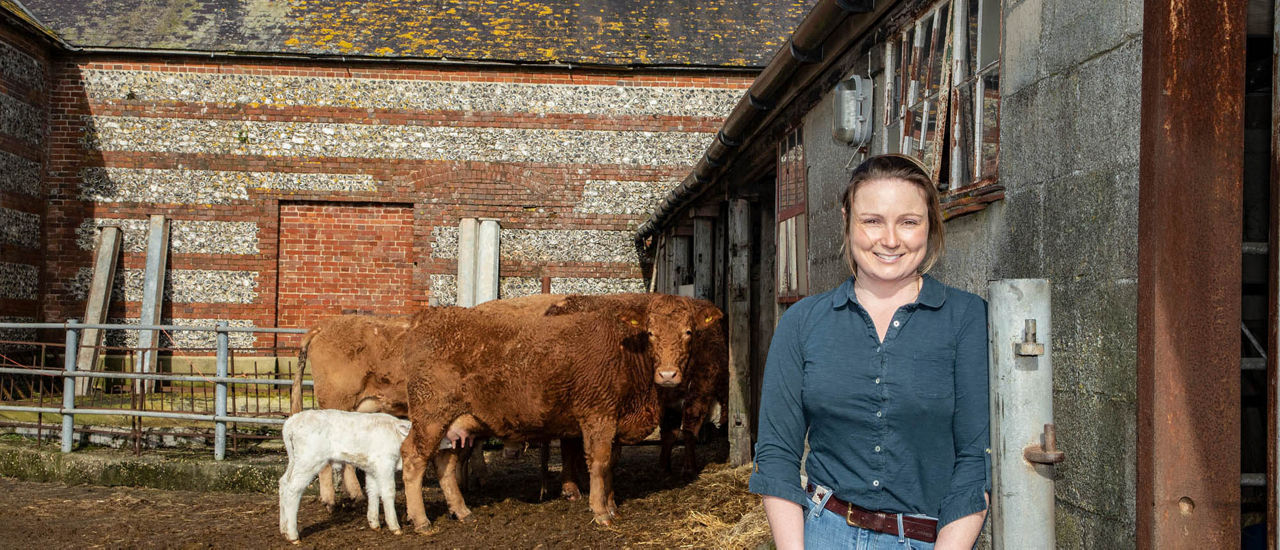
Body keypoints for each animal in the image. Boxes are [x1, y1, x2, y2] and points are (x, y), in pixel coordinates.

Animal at [279, 409, 409, 542]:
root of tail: (293, 420)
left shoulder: (371, 469)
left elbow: (373, 491)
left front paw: (374, 523)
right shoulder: (385, 464)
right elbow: (389, 492)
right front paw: (395, 526)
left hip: (295, 461)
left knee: (283, 483)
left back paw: (284, 529)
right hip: (309, 461)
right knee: (292, 489)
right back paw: (292, 535)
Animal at [399, 296, 721, 529]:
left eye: (688, 332)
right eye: (651, 333)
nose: (668, 375)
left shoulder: (614, 422)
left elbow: (612, 464)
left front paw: (613, 506)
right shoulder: (598, 416)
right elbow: (600, 463)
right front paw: (600, 512)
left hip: (456, 424)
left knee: (445, 462)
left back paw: (462, 511)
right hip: (430, 417)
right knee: (413, 457)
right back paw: (421, 520)